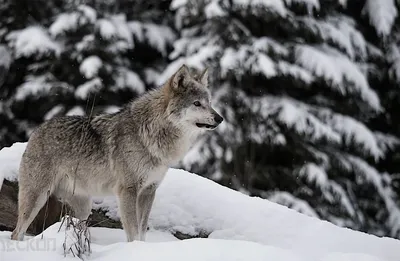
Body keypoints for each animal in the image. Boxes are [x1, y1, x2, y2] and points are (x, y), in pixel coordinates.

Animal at [10, 64, 223, 241]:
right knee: (16, 232)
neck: (150, 133)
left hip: (83, 207)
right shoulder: (127, 191)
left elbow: (142, 230)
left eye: (209, 102)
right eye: (197, 103)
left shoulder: (149, 191)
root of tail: (36, 131)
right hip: (37, 198)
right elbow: (133, 231)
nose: (220, 118)